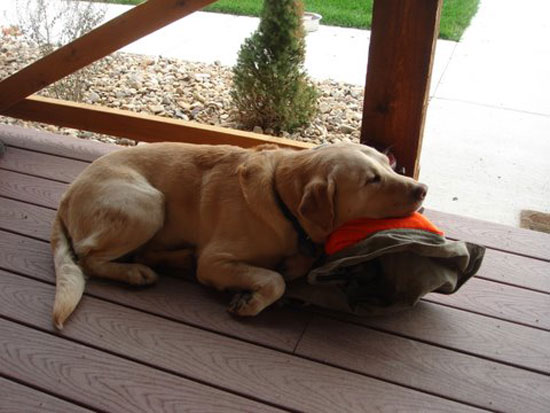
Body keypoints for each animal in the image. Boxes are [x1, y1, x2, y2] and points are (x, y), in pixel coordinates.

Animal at [51, 142, 430, 326]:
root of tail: (66, 195)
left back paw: (172, 259)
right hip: (147, 203)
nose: (422, 189)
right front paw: (250, 300)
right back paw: (134, 273)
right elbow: (274, 280)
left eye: (389, 164)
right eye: (372, 180)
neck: (282, 198)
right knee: (88, 257)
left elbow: (291, 268)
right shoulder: (215, 260)